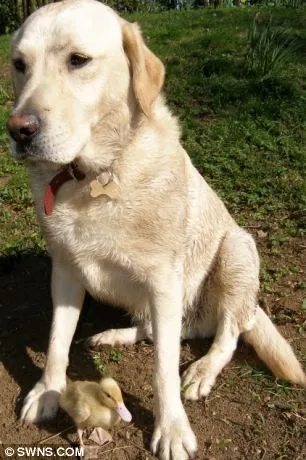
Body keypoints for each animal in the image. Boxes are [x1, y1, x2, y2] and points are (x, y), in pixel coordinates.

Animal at [8, 1, 304, 458]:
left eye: (78, 60)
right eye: (19, 64)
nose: (18, 130)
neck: (95, 176)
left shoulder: (164, 280)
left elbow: (163, 368)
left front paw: (172, 428)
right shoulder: (65, 270)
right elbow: (58, 339)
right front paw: (48, 391)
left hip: (236, 249)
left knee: (226, 333)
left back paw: (202, 369)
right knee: (166, 328)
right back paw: (113, 335)